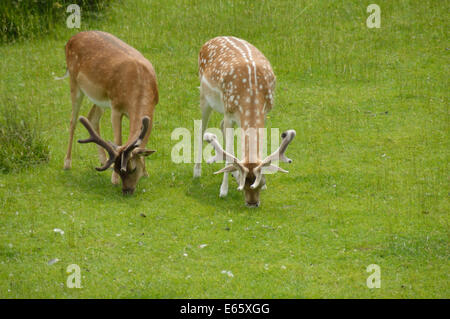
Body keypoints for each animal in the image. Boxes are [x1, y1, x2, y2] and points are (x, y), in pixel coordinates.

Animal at [57, 31, 158, 195]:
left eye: (133, 168)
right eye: (119, 169)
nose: (126, 190)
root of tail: (71, 39)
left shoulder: (153, 109)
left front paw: (146, 173)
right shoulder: (116, 107)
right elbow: (118, 140)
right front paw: (114, 180)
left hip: (100, 98)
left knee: (91, 117)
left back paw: (103, 160)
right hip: (74, 82)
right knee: (73, 121)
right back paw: (67, 163)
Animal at [193, 37, 296, 208]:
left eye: (260, 183)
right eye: (243, 186)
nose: (252, 203)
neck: (251, 95)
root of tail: (210, 40)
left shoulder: (265, 112)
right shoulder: (229, 111)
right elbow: (227, 148)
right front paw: (223, 190)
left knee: (220, 125)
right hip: (204, 95)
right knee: (201, 128)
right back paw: (197, 172)